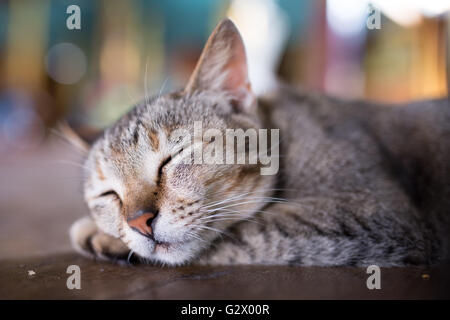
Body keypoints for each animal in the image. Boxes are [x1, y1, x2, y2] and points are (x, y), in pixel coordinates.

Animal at [69, 18, 450, 268]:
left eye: (172, 158)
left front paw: (98, 234)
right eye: (108, 194)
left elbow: (238, 234)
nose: (138, 222)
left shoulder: (372, 213)